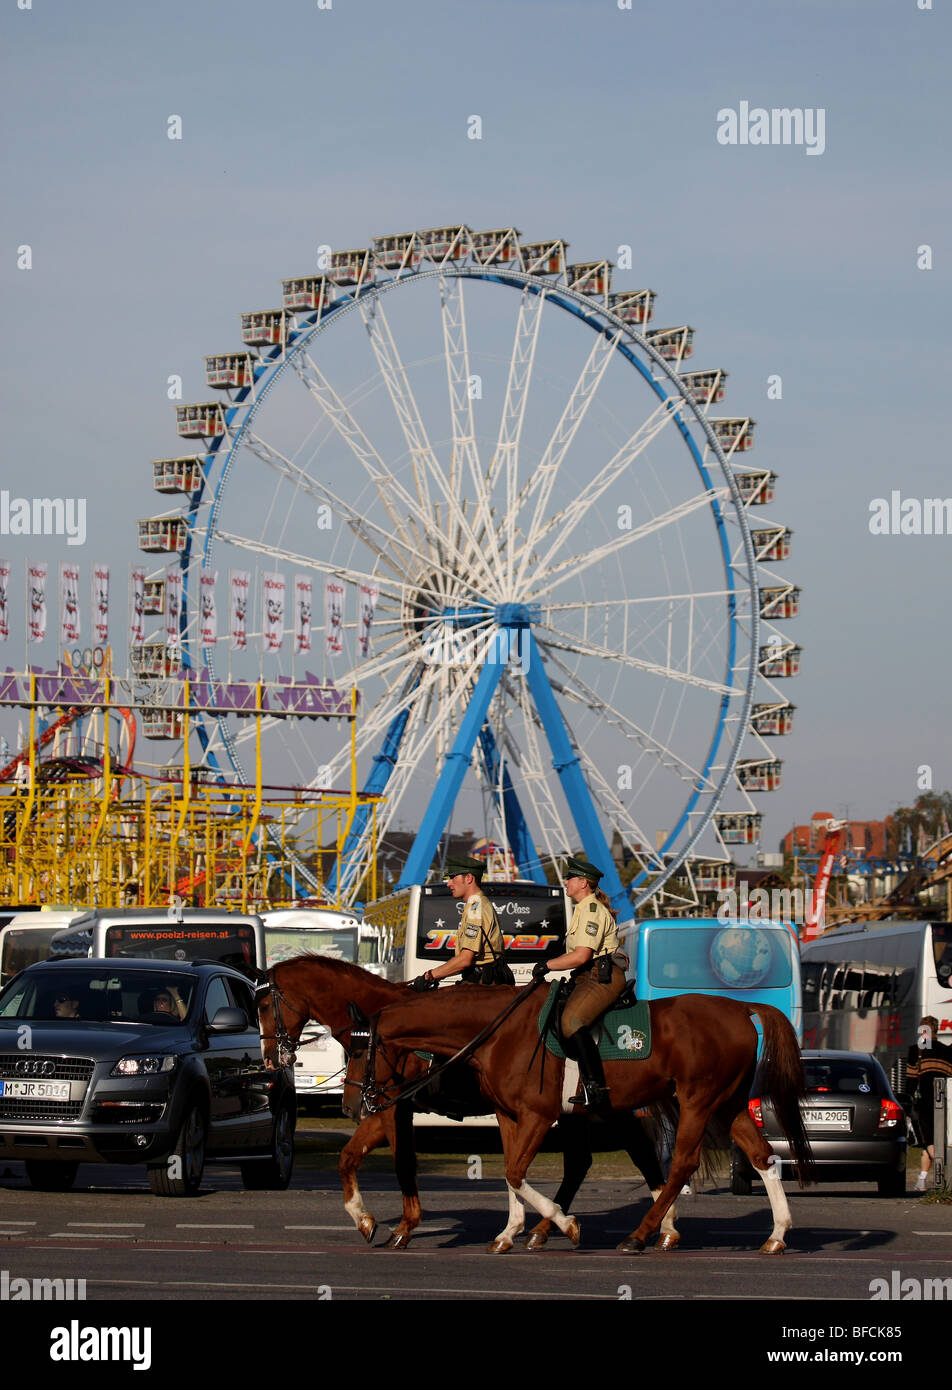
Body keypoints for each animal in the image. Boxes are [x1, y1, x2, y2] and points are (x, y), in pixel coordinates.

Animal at [255, 961, 672, 1256]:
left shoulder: (391, 1108)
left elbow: (401, 1163)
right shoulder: (387, 1108)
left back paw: (657, 1228)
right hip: (577, 1113)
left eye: (261, 1004)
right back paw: (545, 1230)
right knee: (581, 1163)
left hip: (603, 1110)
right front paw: (365, 1219)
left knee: (639, 1155)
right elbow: (347, 1157)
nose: (271, 1057)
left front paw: (401, 1226)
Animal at [366, 989, 811, 1251]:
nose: (366, 1100)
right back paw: (776, 1234)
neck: (500, 1031)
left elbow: (516, 1173)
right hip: (727, 1103)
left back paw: (640, 1234)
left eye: (364, 1049)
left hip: (698, 1101)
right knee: (762, 1156)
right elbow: (511, 1174)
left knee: (682, 1163)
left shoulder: (538, 1116)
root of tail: (739, 1007)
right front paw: (511, 1232)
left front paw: (564, 1224)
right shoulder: (509, 1116)